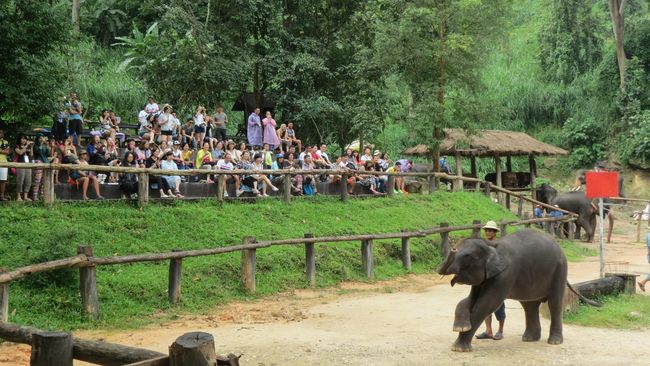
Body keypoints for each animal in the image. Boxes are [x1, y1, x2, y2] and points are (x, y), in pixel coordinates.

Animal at [436, 230, 568, 354]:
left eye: (467, 256)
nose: (453, 249)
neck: (491, 245)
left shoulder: (505, 274)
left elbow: (486, 304)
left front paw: (458, 348)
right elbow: (470, 299)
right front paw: (460, 327)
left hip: (560, 270)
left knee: (554, 303)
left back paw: (554, 341)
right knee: (529, 306)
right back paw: (529, 339)